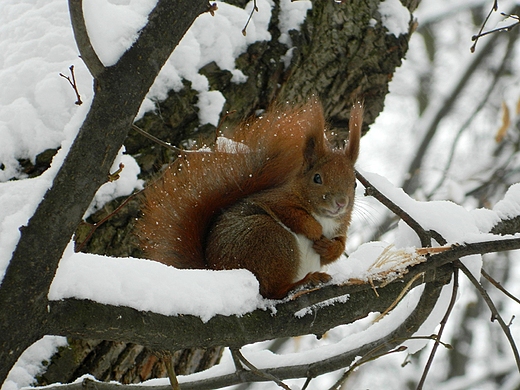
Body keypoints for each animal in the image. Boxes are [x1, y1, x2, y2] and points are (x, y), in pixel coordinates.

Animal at [140, 100, 364, 298]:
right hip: (271, 238)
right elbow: (292, 214)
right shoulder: (277, 200)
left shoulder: (340, 227)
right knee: (271, 291)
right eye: (317, 178)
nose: (341, 203)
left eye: (354, 183)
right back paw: (304, 282)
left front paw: (328, 247)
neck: (324, 216)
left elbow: (338, 246)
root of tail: (214, 269)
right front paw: (314, 229)